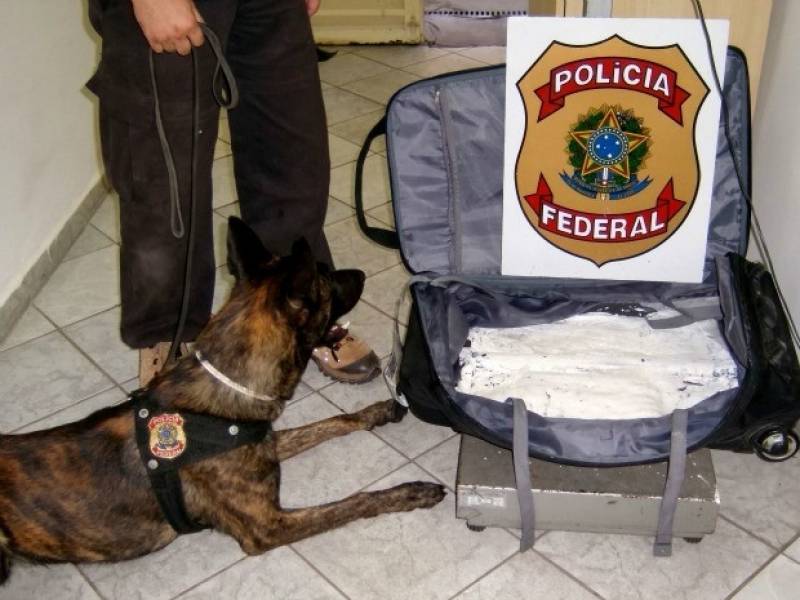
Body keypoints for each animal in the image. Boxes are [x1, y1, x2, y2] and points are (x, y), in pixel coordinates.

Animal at [0, 218, 444, 584]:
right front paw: (410, 492)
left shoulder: (265, 443)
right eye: (328, 278)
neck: (228, 387)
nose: (361, 273)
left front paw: (379, 411)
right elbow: (355, 501)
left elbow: (331, 423)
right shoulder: (267, 526)